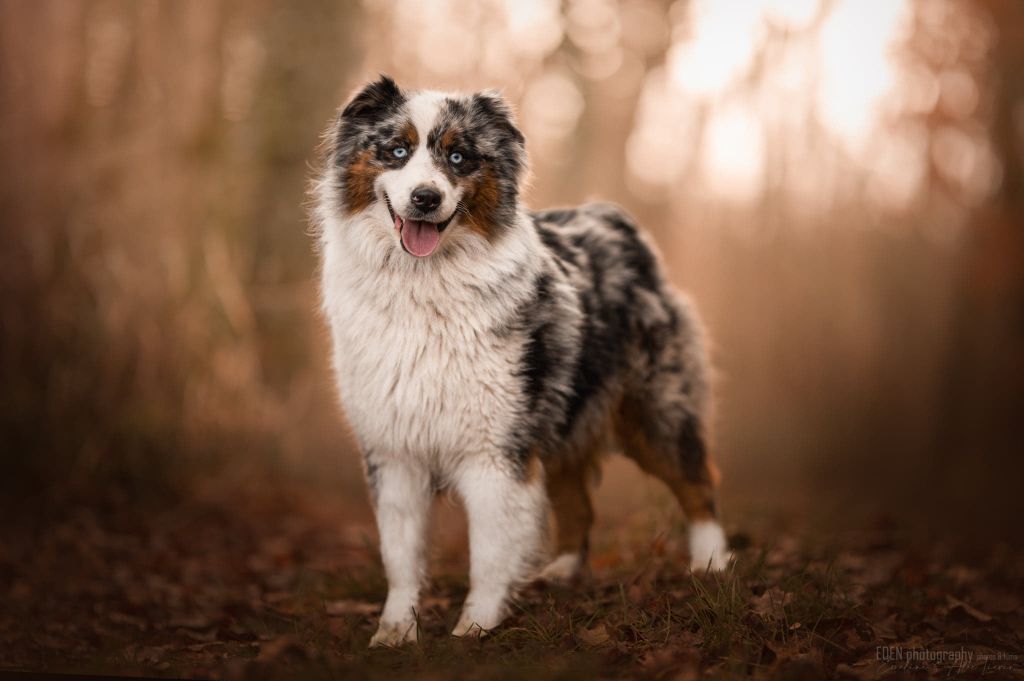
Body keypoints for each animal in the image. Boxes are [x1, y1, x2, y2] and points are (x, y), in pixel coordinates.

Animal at [307, 76, 733, 647]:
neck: (423, 287)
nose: (426, 197)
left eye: (459, 157)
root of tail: (613, 218)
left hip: (655, 409)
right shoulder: (395, 450)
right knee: (579, 504)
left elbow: (489, 551)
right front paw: (395, 631)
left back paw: (711, 562)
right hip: (564, 421)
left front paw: (475, 626)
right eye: (396, 151)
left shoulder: (495, 447)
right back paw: (561, 571)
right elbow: (400, 555)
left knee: (697, 480)